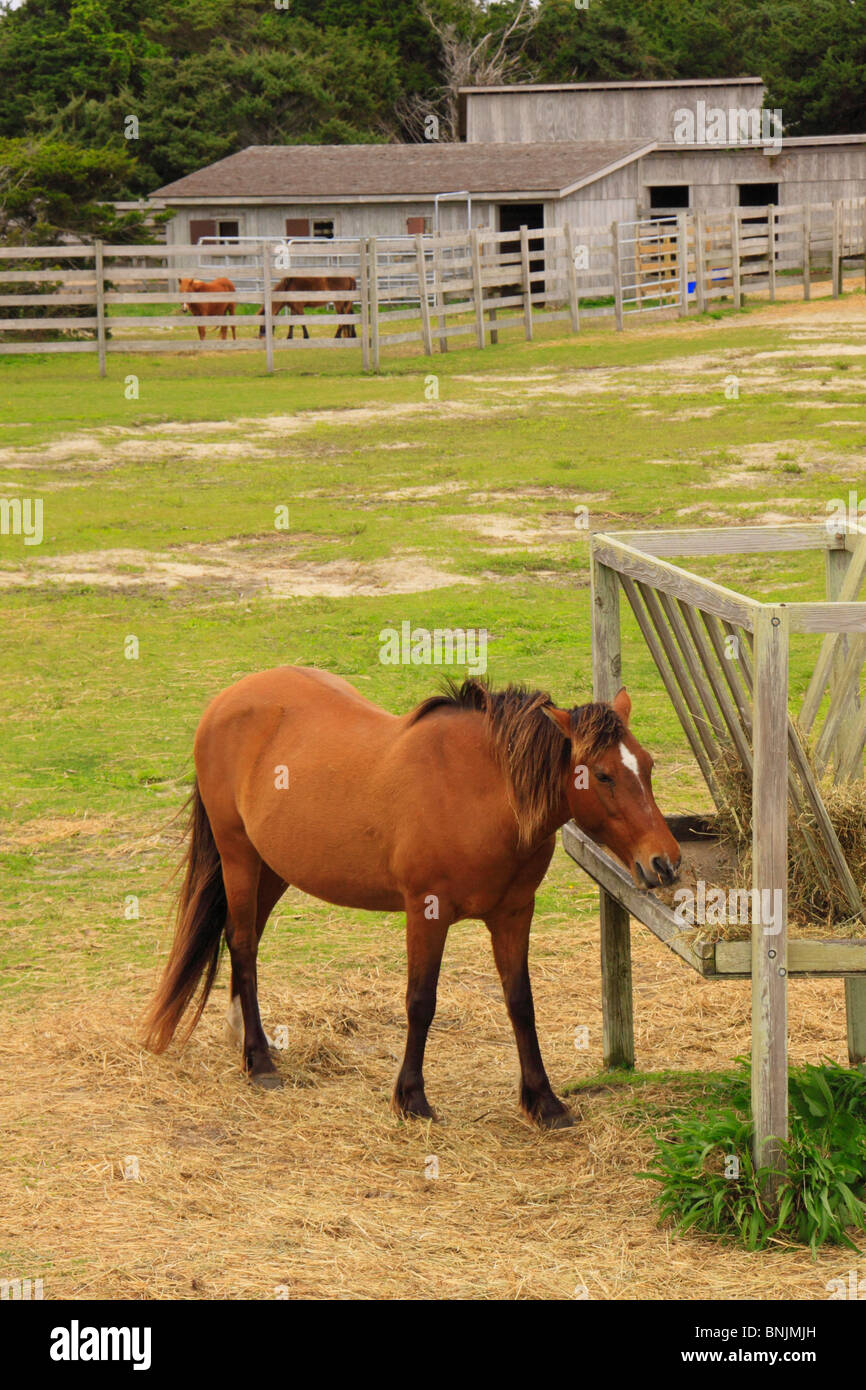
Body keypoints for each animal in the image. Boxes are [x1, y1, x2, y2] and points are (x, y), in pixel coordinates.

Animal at [145, 664, 681, 1128]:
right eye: (604, 775)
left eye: (648, 765)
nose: (665, 862)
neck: (479, 791)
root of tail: (227, 700)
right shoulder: (427, 912)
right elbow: (421, 1001)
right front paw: (411, 1098)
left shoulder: (513, 913)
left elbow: (520, 1002)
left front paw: (543, 1102)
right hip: (238, 856)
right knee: (241, 942)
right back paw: (258, 1061)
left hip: (272, 867)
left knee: (246, 941)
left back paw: (243, 1037)